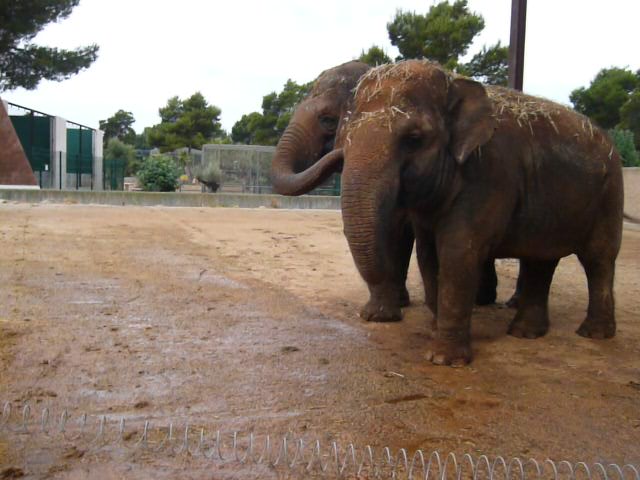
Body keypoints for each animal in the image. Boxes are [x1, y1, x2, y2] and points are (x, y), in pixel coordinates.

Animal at [330, 60, 623, 366]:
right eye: (345, 137)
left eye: (414, 139)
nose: (371, 315)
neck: (454, 82)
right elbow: (428, 255)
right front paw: (435, 329)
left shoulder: (490, 174)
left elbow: (458, 253)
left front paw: (443, 359)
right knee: (541, 258)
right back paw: (525, 333)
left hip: (611, 193)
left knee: (599, 258)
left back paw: (593, 333)